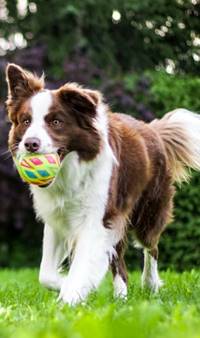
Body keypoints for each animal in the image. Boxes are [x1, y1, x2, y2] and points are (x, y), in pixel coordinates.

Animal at [5, 62, 200, 304]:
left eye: (56, 122)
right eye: (26, 121)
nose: (30, 144)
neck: (70, 173)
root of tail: (152, 129)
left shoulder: (97, 218)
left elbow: (82, 264)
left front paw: (70, 297)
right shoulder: (58, 218)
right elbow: (45, 274)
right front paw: (71, 286)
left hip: (148, 210)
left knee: (151, 246)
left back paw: (150, 284)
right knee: (120, 262)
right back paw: (121, 297)